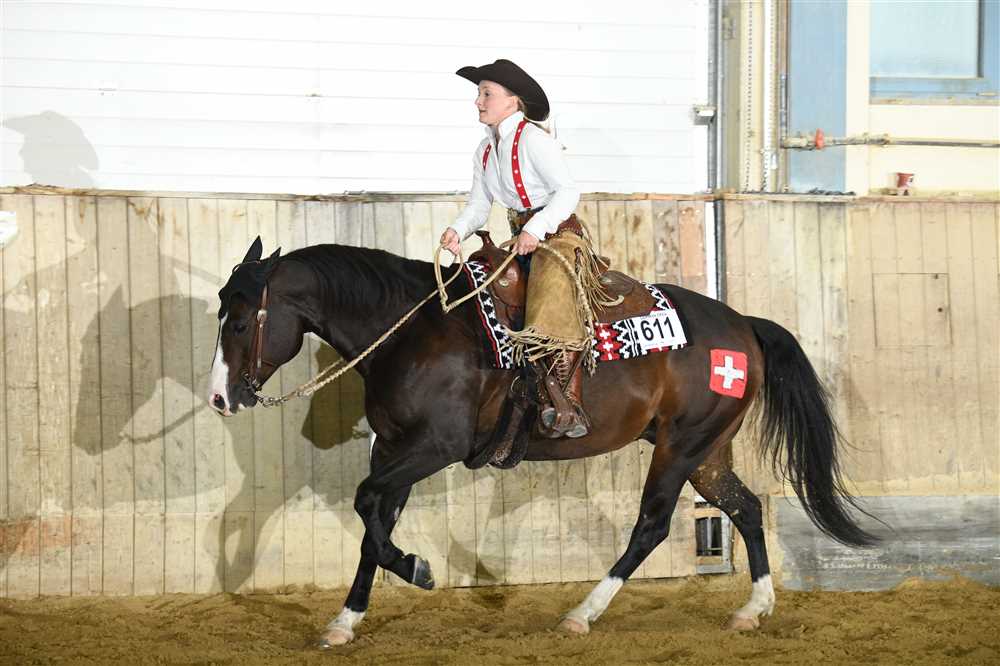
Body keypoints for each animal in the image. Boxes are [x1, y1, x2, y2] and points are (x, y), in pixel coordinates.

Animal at [208, 236, 876, 646]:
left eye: (240, 322)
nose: (219, 397)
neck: (414, 332)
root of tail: (744, 327)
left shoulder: (434, 448)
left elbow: (367, 504)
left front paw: (418, 570)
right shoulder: (394, 449)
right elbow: (375, 521)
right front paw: (345, 621)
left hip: (681, 447)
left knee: (653, 526)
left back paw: (582, 614)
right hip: (706, 453)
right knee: (747, 508)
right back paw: (752, 610)